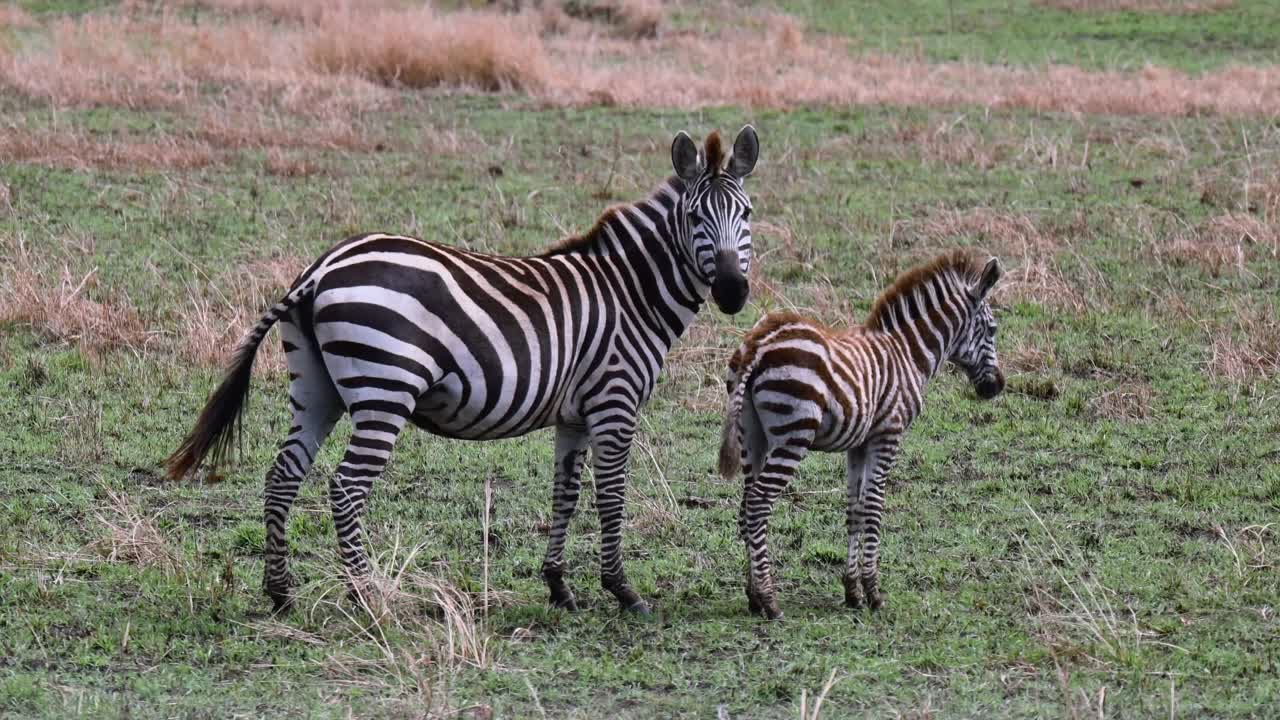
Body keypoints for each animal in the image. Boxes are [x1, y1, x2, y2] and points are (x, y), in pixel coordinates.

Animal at [165, 126, 759, 615]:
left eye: (747, 215)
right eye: (694, 218)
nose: (733, 292)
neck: (631, 292)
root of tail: (320, 269)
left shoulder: (574, 414)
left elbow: (565, 493)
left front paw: (558, 586)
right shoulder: (615, 399)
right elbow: (611, 494)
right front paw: (623, 591)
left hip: (316, 388)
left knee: (283, 475)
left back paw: (281, 592)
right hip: (384, 390)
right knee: (346, 487)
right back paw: (366, 597)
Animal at [717, 249, 1004, 620]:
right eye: (993, 329)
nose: (997, 387)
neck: (907, 351)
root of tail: (759, 343)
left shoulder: (858, 444)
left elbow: (854, 509)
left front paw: (852, 591)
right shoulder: (888, 435)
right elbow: (874, 507)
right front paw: (873, 591)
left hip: (752, 435)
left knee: (745, 507)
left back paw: (753, 597)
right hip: (792, 435)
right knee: (758, 504)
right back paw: (769, 599)